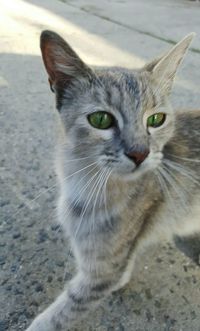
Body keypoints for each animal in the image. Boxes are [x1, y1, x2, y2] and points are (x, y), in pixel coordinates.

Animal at [25, 29, 199, 330]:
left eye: (156, 119)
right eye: (100, 119)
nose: (140, 152)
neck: (85, 182)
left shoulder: (101, 273)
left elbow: (60, 314)